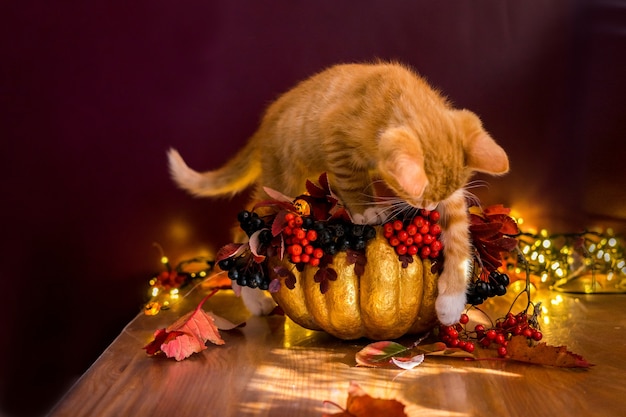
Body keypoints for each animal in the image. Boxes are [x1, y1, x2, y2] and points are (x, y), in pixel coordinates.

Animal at [167, 61, 508, 326]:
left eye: (438, 199)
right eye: (416, 197)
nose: (430, 207)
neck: (400, 99)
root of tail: (264, 126)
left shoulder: (453, 194)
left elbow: (459, 236)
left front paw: (450, 303)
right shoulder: (337, 141)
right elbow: (352, 181)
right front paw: (365, 210)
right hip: (281, 184)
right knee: (244, 230)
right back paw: (254, 300)